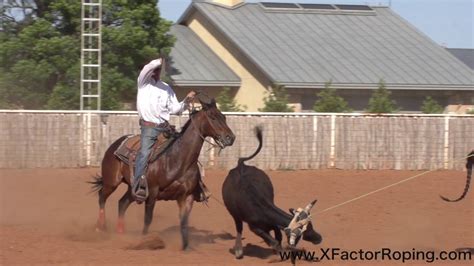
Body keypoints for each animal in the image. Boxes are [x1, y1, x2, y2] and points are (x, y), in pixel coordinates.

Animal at [89, 97, 235, 249]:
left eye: (224, 117)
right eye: (212, 117)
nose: (230, 138)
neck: (177, 159)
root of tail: (115, 144)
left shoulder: (186, 196)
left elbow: (184, 222)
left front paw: (186, 247)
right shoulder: (152, 192)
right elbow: (148, 219)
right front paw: (144, 241)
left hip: (132, 188)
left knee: (122, 203)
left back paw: (120, 233)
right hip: (111, 181)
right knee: (102, 197)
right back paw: (100, 227)